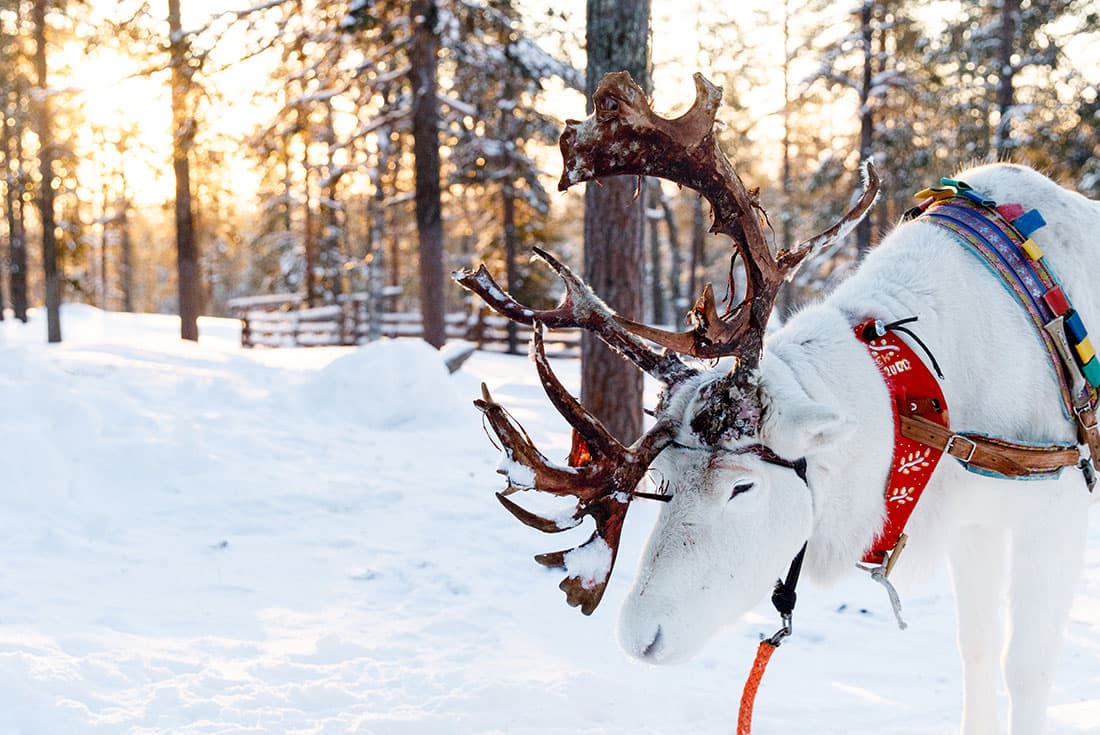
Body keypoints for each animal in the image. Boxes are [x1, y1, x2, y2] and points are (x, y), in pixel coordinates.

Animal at [453, 71, 1100, 735]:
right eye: (664, 479)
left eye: (743, 487)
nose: (638, 638)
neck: (935, 402)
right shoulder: (977, 524)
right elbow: (978, 651)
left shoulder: (1057, 514)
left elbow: (1026, 669)